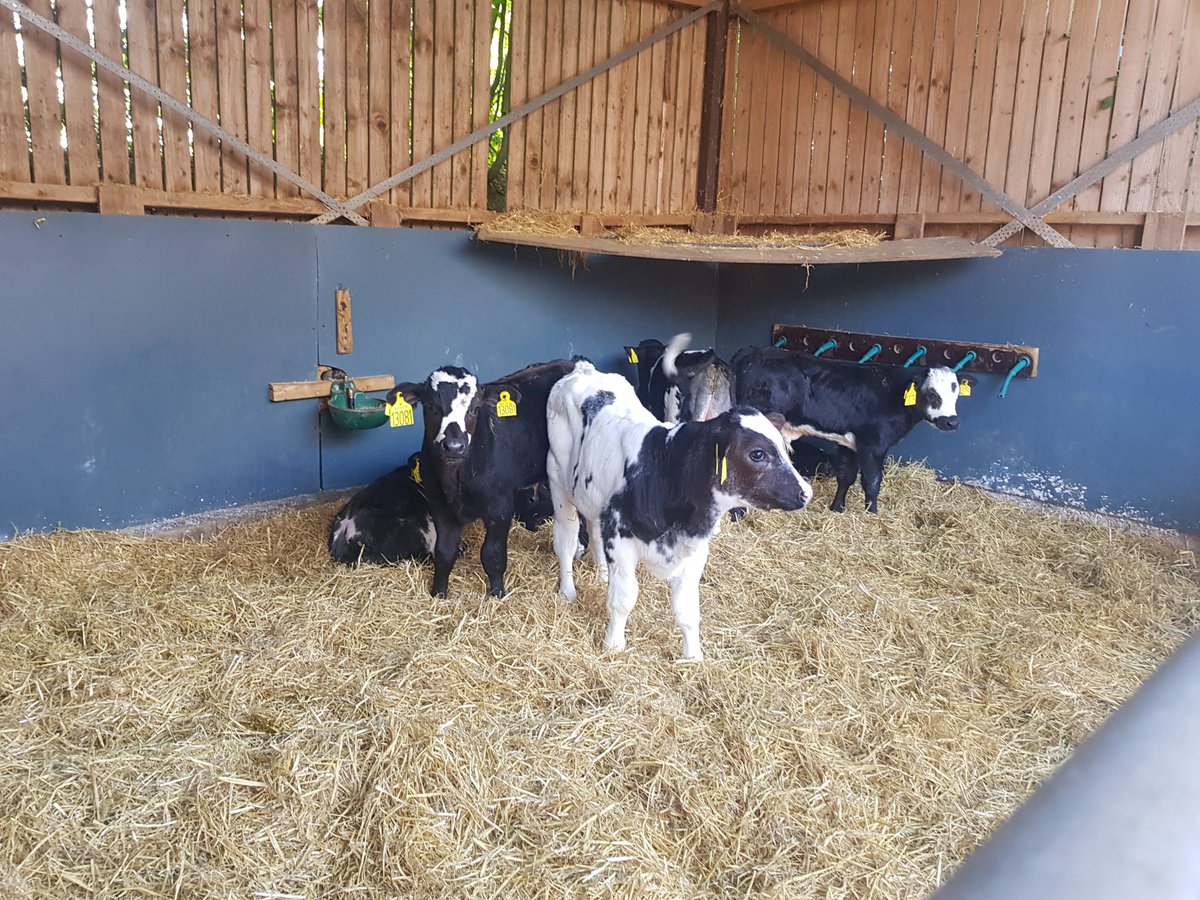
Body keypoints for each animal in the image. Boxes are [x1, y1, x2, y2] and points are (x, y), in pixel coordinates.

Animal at [386, 359, 576, 597]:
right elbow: (444, 553)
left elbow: (492, 555)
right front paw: (439, 593)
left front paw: (497, 594)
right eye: (430, 406)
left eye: (475, 409)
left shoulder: (500, 506)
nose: (454, 446)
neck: (456, 481)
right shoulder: (440, 506)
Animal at [546, 360, 812, 661]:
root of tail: (584, 369)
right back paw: (567, 589)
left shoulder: (694, 552)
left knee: (593, 527)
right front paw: (613, 645)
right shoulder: (621, 537)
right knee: (566, 541)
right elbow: (623, 599)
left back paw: (603, 572)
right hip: (558, 483)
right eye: (757, 454)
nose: (806, 492)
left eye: (785, 448)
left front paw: (693, 656)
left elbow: (688, 611)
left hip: (592, 493)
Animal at [732, 346, 960, 513]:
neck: (893, 393)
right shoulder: (874, 445)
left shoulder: (850, 443)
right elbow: (872, 481)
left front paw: (837, 508)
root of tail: (752, 351)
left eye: (956, 394)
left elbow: (846, 476)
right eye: (932, 394)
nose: (952, 422)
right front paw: (872, 513)